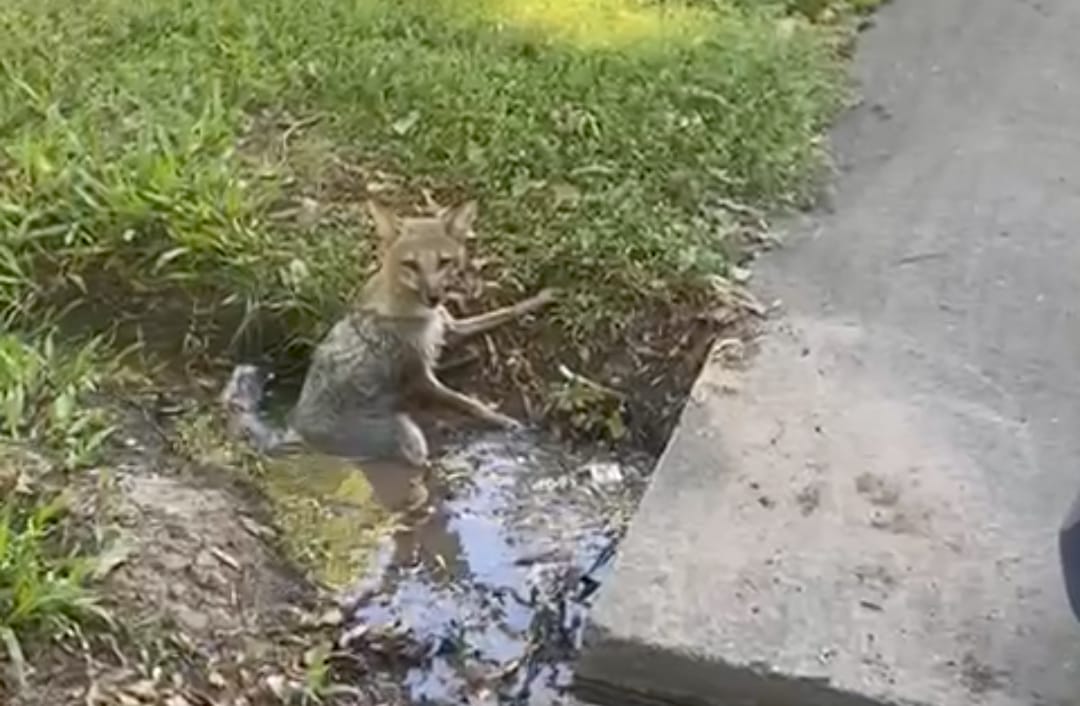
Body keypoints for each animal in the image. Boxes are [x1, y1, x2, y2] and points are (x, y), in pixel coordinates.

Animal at [220, 198, 557, 468]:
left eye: (444, 262)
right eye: (411, 265)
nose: (434, 297)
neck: (414, 313)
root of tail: (294, 424)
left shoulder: (448, 329)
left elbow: (505, 311)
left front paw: (542, 298)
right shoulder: (421, 377)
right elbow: (471, 404)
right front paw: (504, 420)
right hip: (409, 436)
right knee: (415, 465)